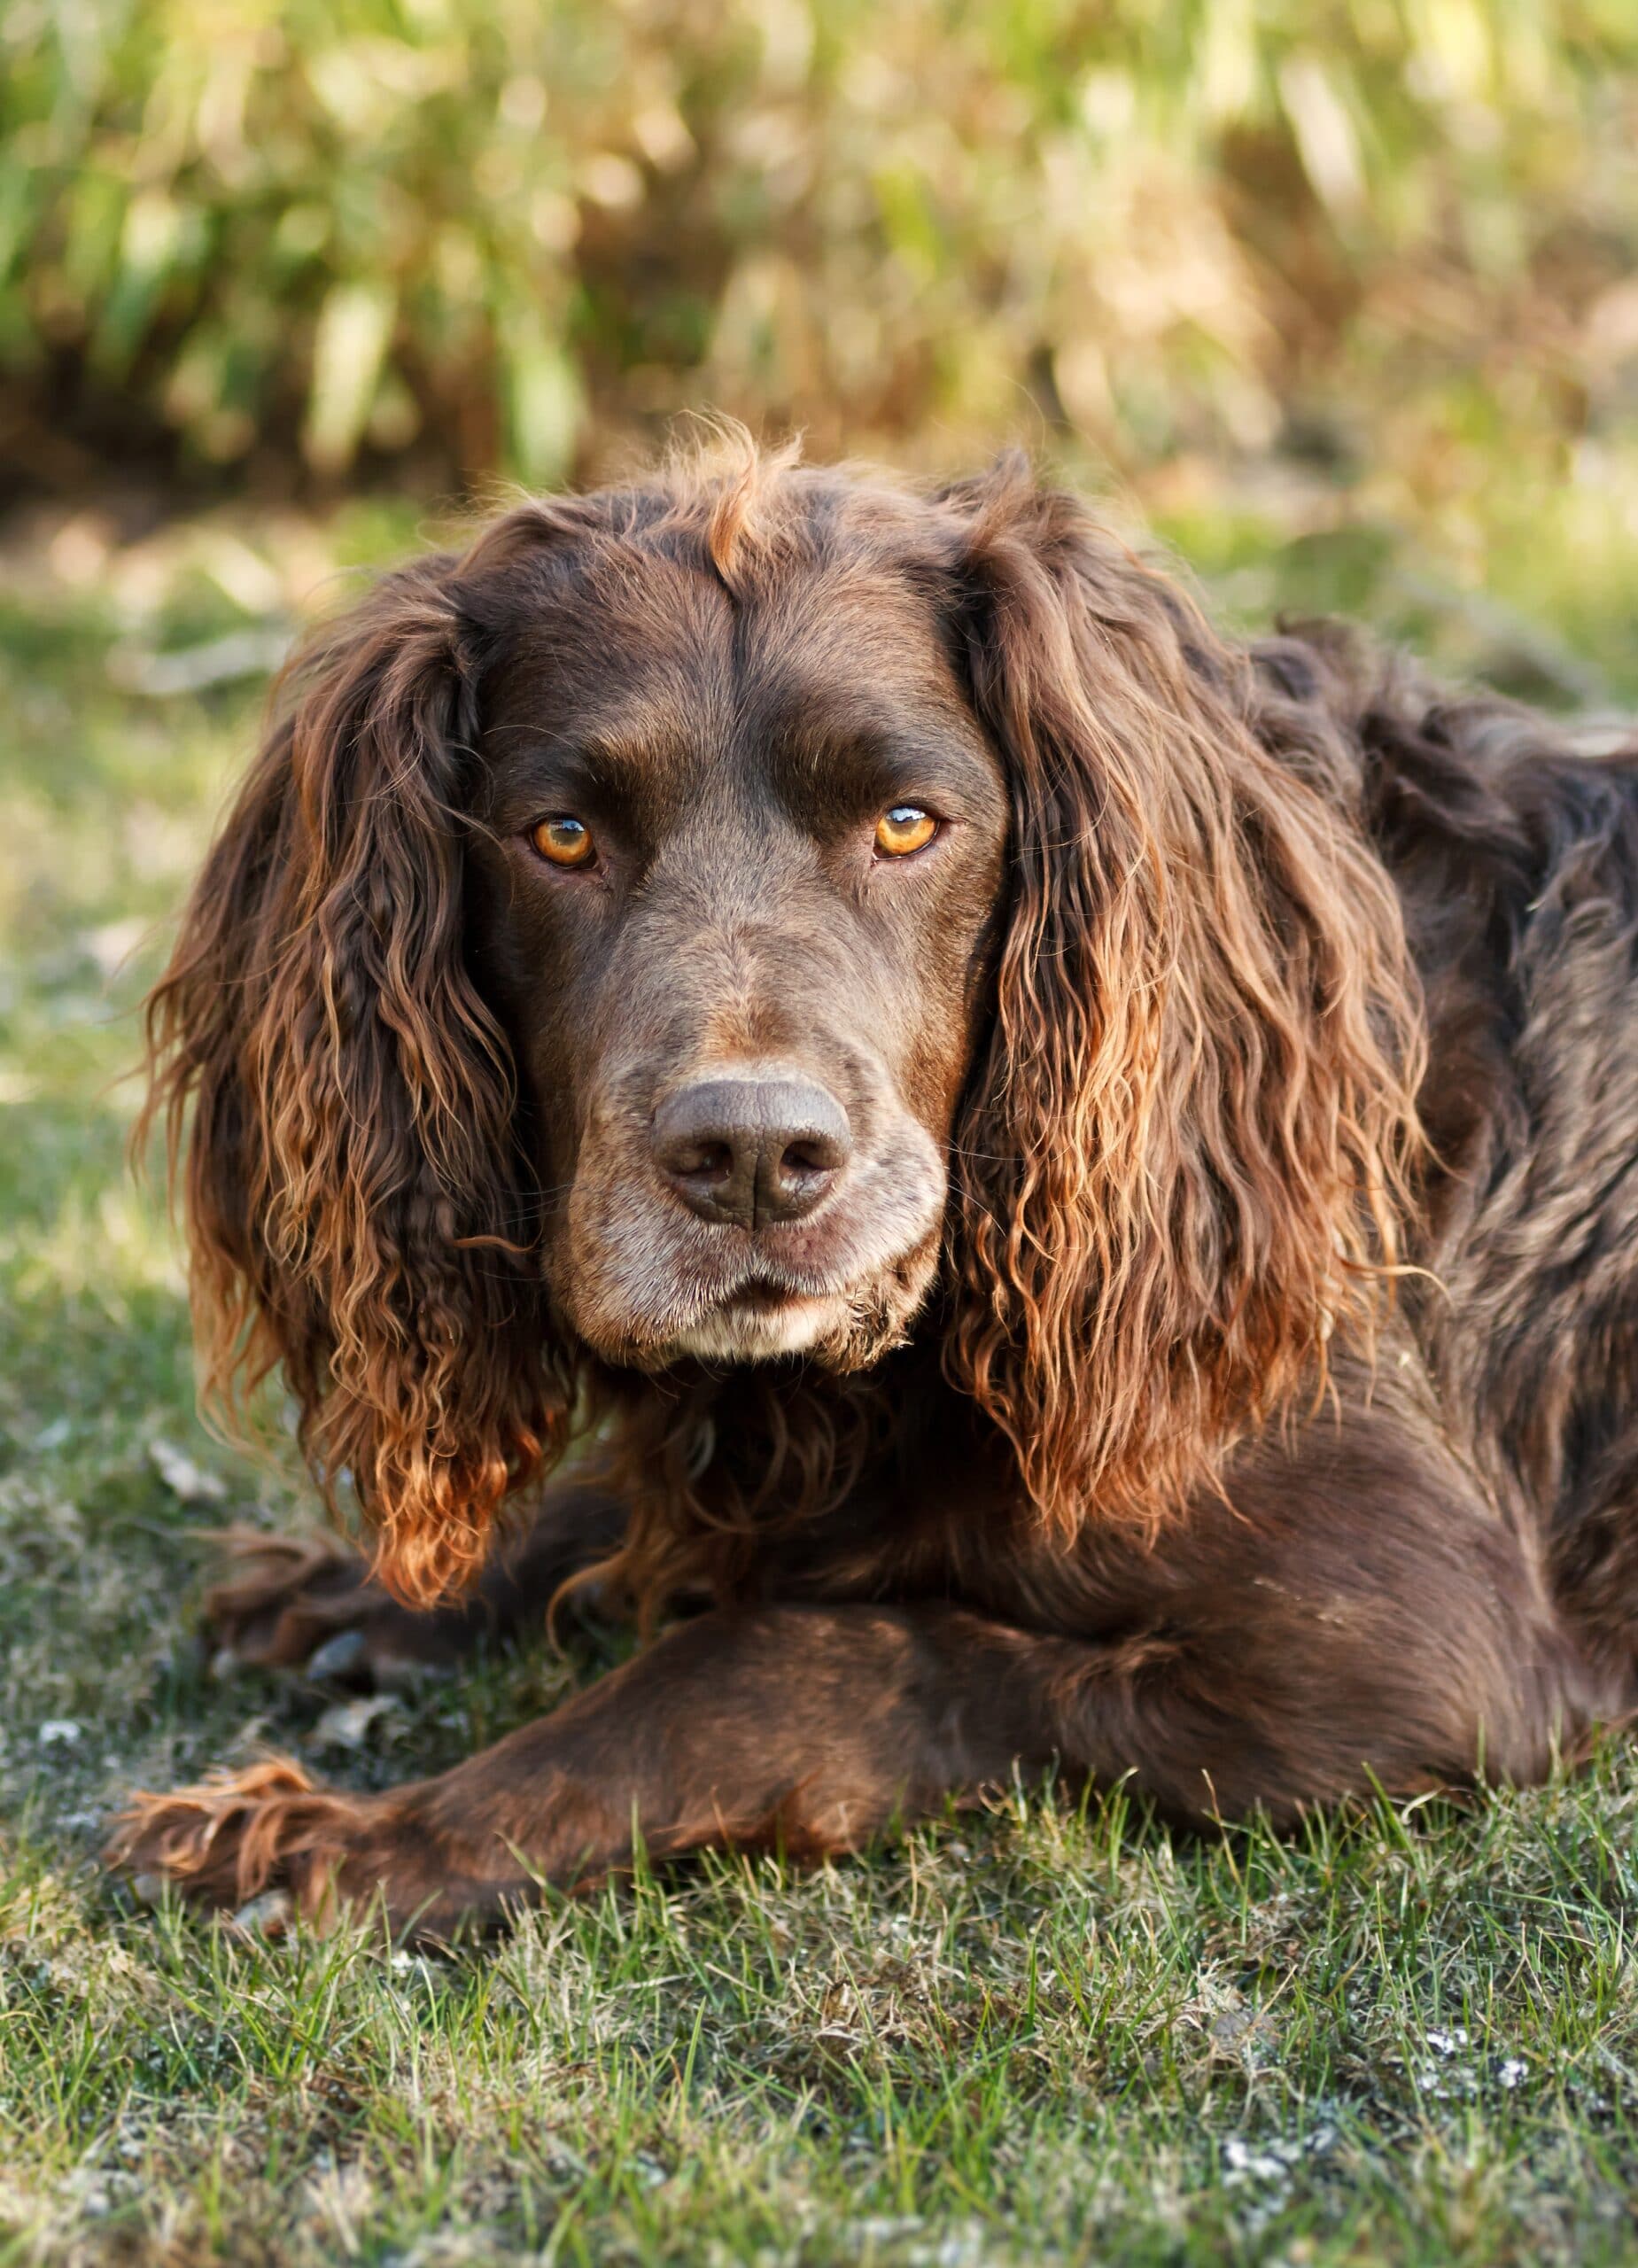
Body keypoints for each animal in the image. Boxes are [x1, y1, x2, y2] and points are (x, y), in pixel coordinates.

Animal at [108, 438, 1633, 1932]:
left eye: (907, 824)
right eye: (560, 838)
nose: (751, 1158)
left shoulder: (1401, 1659)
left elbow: (786, 1653)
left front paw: (359, 1840)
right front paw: (378, 1590)